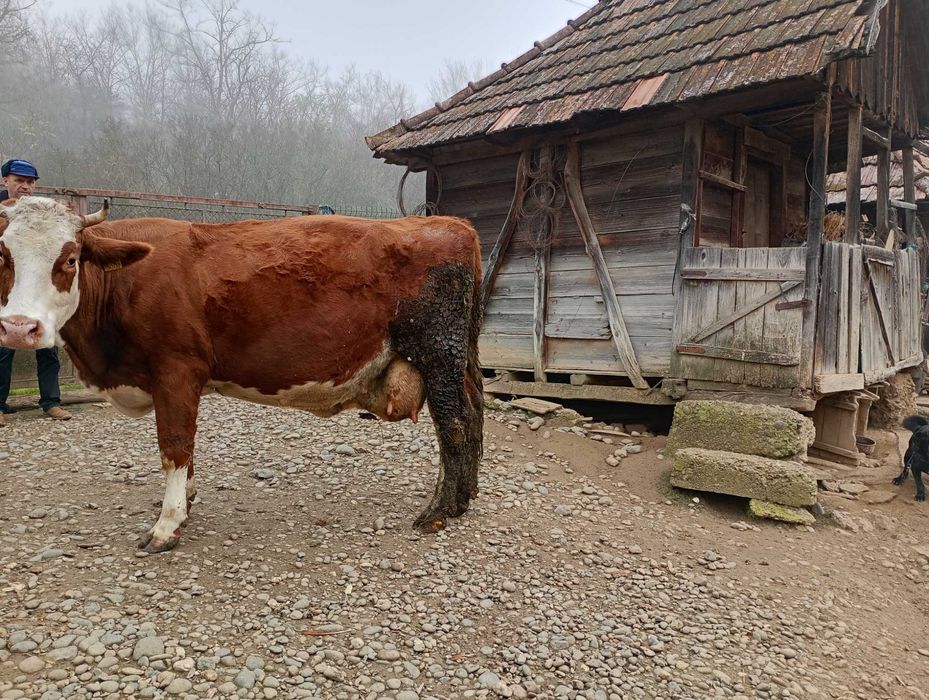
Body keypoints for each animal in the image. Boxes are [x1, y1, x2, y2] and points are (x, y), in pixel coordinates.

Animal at [0, 196, 484, 552]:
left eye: (70, 259)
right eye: (3, 256)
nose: (20, 328)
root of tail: (453, 224)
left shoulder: (176, 370)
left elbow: (174, 445)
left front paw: (167, 525)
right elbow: (187, 448)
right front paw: (186, 501)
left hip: (438, 354)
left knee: (455, 426)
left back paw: (439, 511)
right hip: (459, 362)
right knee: (473, 420)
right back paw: (463, 499)